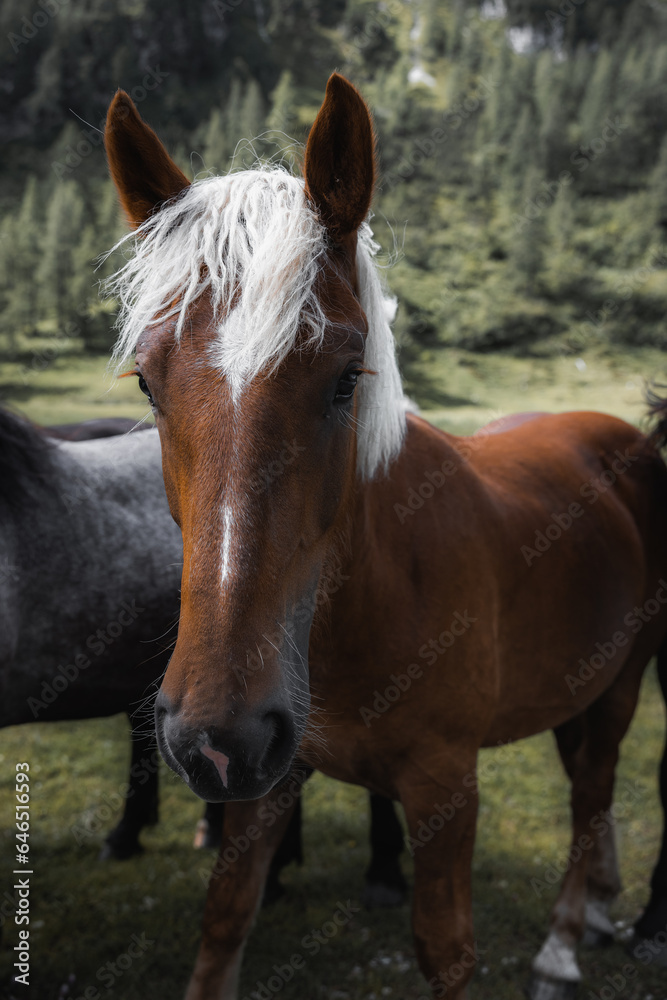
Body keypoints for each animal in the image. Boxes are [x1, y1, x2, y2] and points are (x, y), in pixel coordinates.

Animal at [103, 72, 667, 1000]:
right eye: (148, 383)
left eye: (344, 379)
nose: (217, 735)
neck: (372, 593)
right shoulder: (267, 780)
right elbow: (224, 920)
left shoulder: (445, 788)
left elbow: (444, 948)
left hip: (626, 678)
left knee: (591, 790)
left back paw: (559, 944)